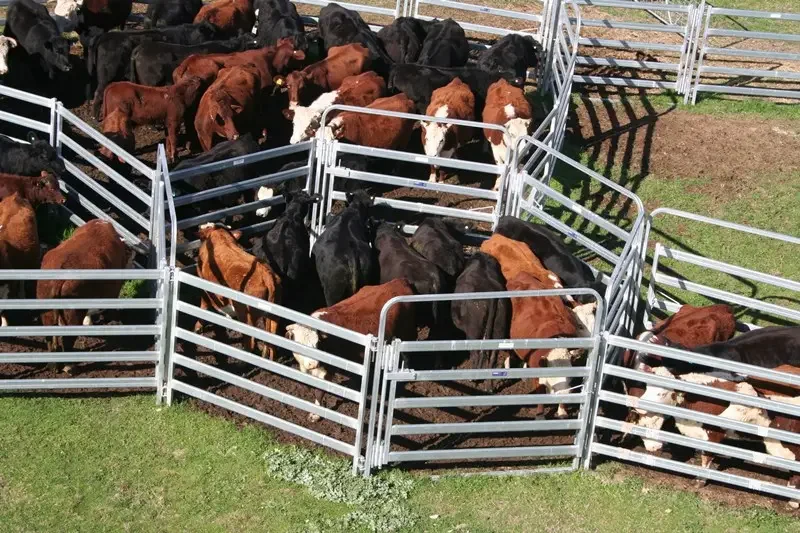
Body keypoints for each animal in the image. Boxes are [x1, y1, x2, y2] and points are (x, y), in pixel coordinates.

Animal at [195, 223, 282, 358]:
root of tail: (267, 275)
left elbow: (203, 304)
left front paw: (198, 327)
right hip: (274, 317)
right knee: (272, 341)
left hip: (247, 319)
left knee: (250, 342)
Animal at [285, 278, 415, 421]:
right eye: (299, 343)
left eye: (317, 342)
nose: (313, 363)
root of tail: (400, 280)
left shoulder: (328, 370)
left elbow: (320, 391)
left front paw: (315, 414)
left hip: (407, 334)